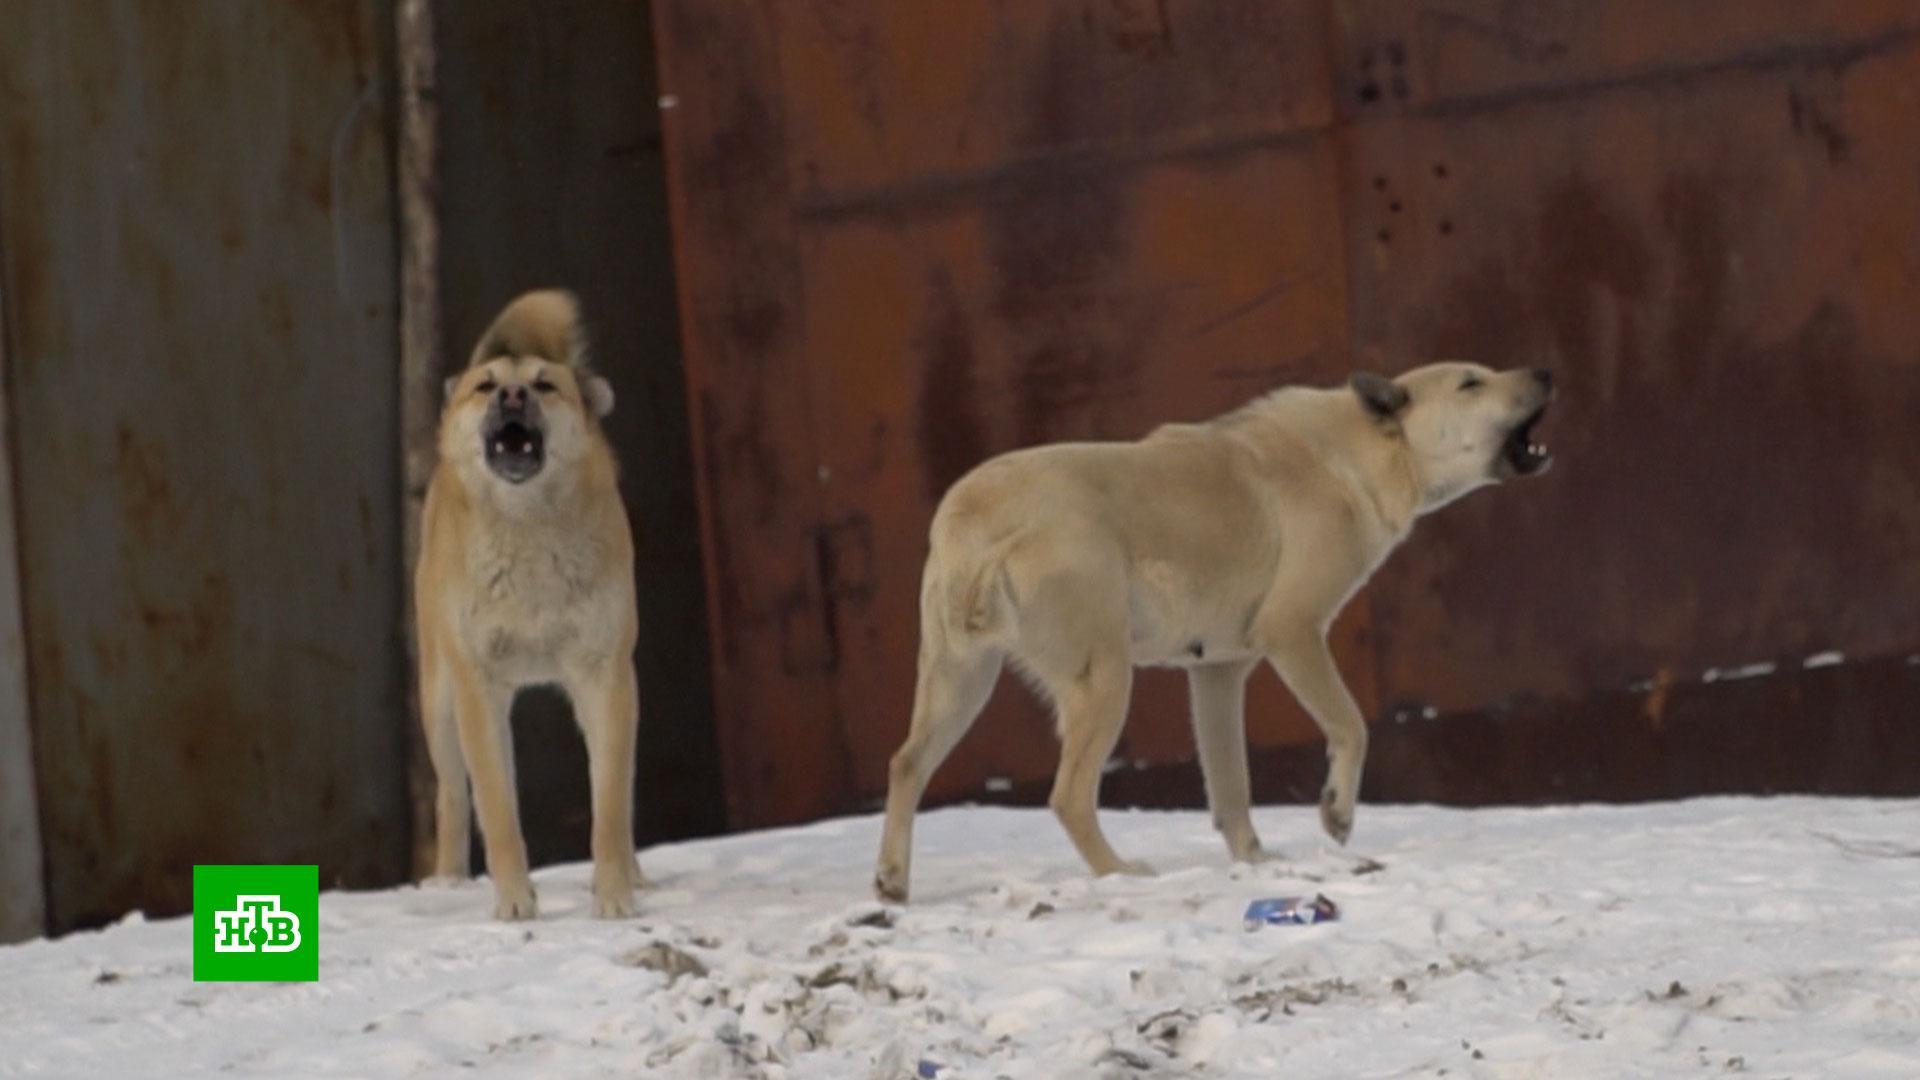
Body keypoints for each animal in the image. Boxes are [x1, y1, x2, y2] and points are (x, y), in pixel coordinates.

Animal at [410, 288, 637, 914]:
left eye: (545, 384)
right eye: (486, 386)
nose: (512, 395)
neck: (529, 531)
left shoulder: (605, 675)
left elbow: (611, 802)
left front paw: (615, 892)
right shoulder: (478, 686)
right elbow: (495, 807)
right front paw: (514, 903)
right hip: (440, 698)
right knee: (453, 796)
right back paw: (449, 881)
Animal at [879, 361, 1551, 899]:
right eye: (1471, 381)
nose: (1545, 370)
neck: (1355, 455)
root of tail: (971, 515)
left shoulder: (1217, 672)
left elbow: (1230, 784)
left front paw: (1255, 862)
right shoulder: (1293, 632)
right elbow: (1351, 725)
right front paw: (1336, 814)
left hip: (962, 681)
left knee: (906, 764)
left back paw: (892, 883)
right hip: (1104, 678)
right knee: (1067, 795)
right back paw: (1119, 872)